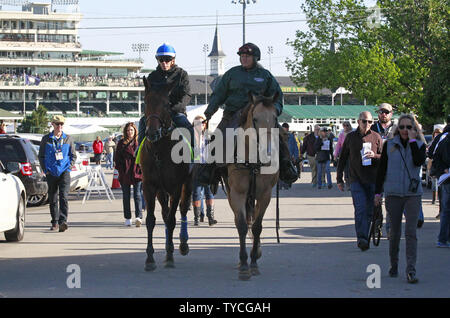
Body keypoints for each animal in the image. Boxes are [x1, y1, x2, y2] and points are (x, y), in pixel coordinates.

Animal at [139, 76, 192, 270]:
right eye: (146, 102)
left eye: (166, 104)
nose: (152, 132)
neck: (160, 151)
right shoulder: (149, 186)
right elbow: (151, 220)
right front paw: (149, 258)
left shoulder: (176, 186)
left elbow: (171, 219)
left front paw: (169, 255)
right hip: (161, 191)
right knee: (165, 211)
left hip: (188, 183)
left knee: (182, 210)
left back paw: (183, 244)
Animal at [222, 92, 282, 280]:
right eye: (255, 119)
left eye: (275, 118)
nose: (268, 152)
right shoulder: (237, 193)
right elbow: (242, 225)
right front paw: (243, 264)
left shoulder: (265, 195)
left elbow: (257, 226)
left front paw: (254, 261)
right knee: (239, 220)